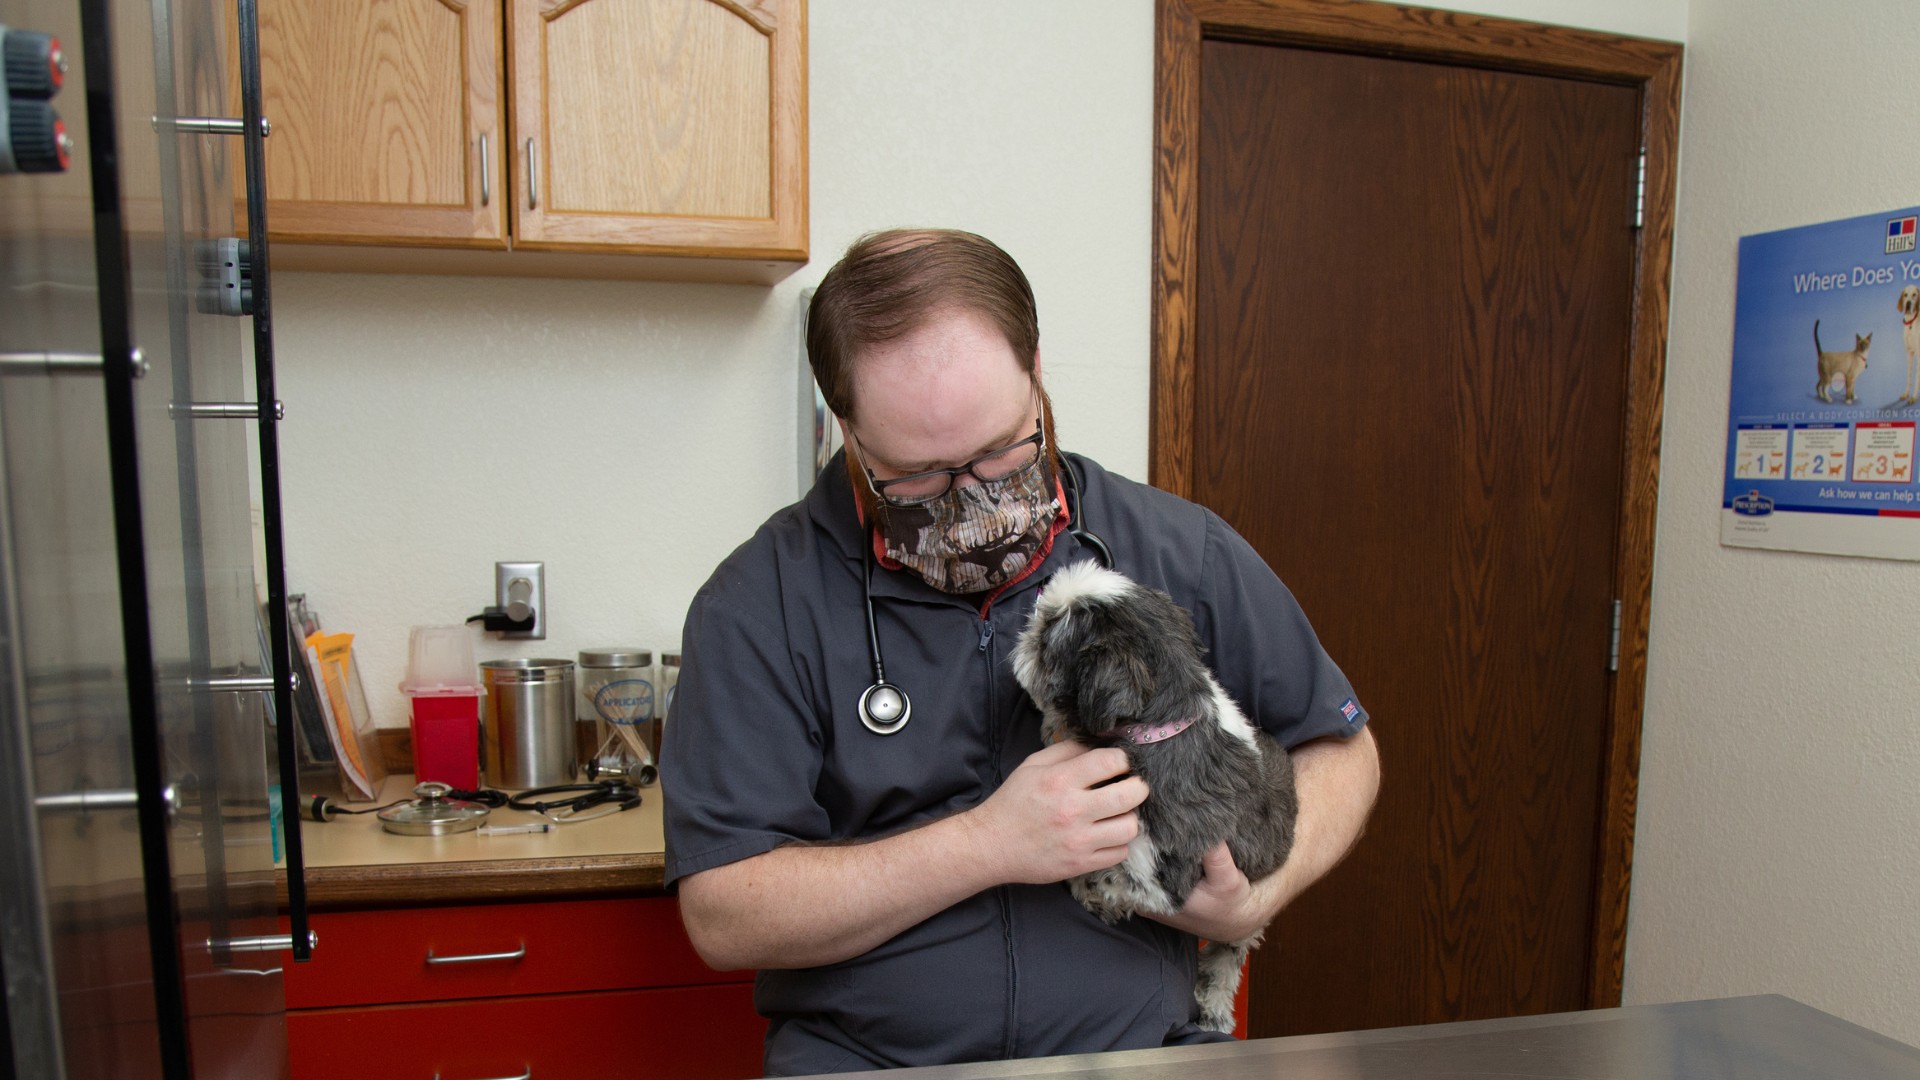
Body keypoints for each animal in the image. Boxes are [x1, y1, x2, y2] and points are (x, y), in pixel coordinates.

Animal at [1013, 557, 1297, 1030]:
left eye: (1049, 637)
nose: (1029, 624)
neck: (1160, 730)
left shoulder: (1163, 877)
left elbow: (1108, 877)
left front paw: (1087, 890)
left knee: (1228, 957)